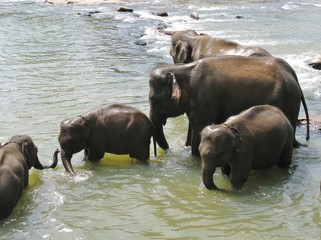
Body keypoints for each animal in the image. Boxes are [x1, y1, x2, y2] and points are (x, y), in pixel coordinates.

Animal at [149, 55, 308, 155]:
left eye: (154, 100)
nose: (168, 150)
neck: (184, 69)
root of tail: (294, 76)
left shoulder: (206, 101)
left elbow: (198, 131)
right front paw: (186, 148)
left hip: (288, 101)